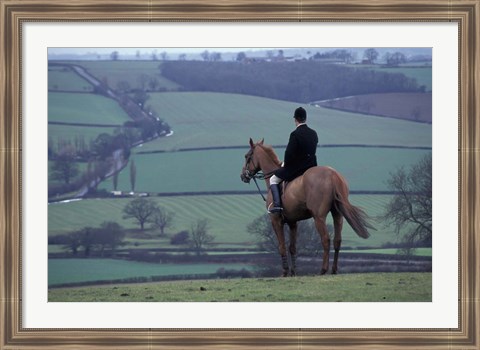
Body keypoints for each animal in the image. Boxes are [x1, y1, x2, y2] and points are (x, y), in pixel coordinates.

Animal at [242, 138, 374, 278]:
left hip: (319, 217)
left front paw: (285, 272)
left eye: (246, 156)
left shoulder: (275, 220)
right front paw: (293, 272)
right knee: (337, 240)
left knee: (325, 240)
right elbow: (292, 247)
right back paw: (334, 270)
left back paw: (323, 270)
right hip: (338, 215)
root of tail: (332, 175)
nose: (243, 176)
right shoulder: (293, 222)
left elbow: (282, 246)